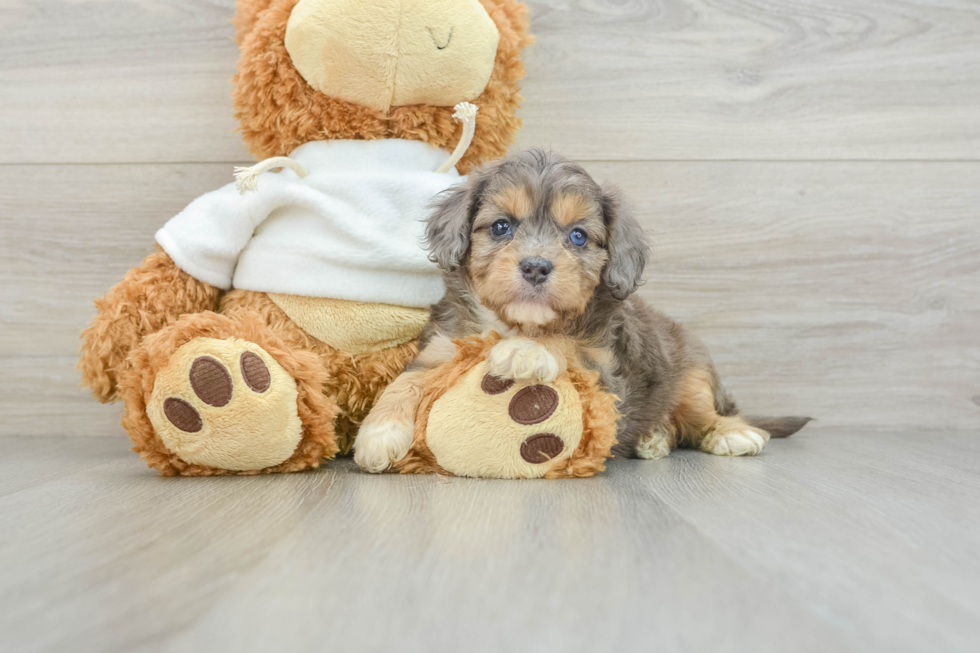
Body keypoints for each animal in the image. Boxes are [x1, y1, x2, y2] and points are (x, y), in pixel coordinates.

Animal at [356, 150, 808, 472]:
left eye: (577, 236)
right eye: (501, 226)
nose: (536, 266)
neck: (516, 322)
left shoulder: (607, 372)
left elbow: (566, 344)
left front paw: (528, 350)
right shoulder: (442, 347)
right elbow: (406, 381)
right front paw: (379, 432)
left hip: (692, 376)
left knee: (703, 414)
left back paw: (730, 433)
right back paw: (654, 438)